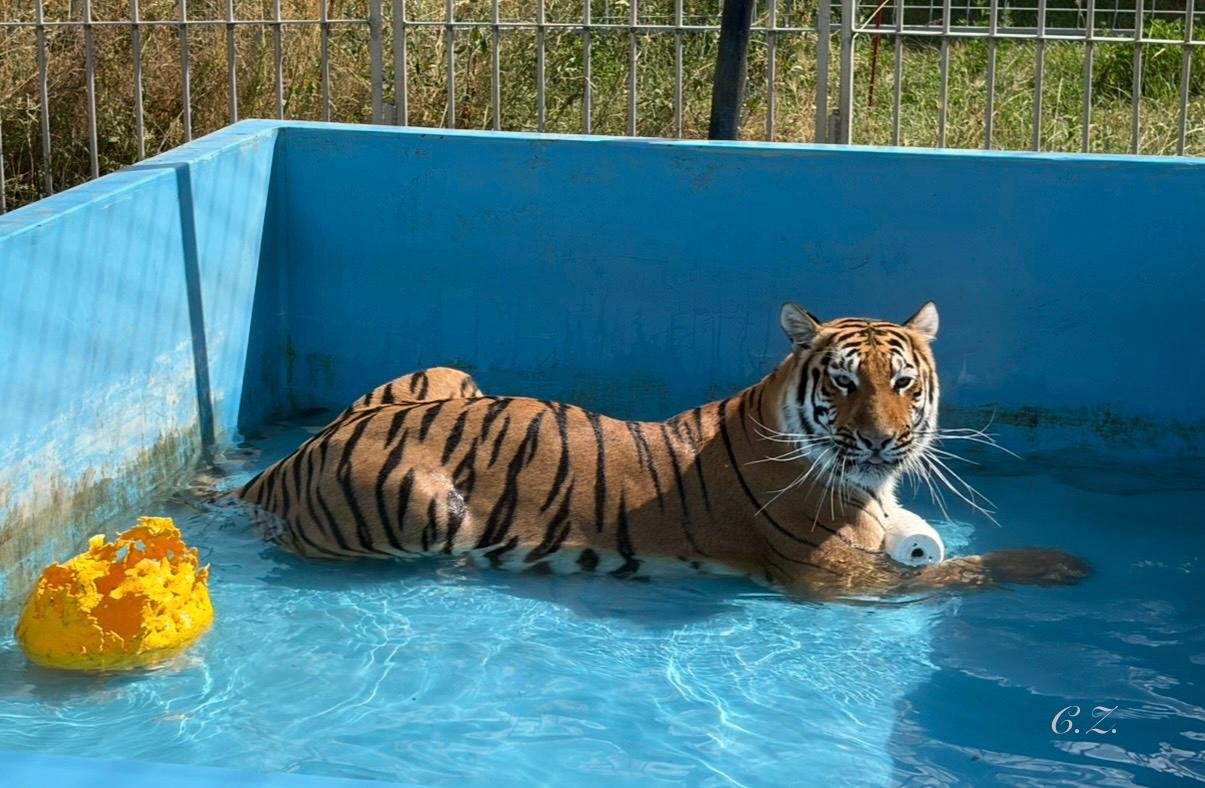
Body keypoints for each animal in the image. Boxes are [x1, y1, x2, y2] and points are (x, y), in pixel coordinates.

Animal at [235, 302, 1089, 598]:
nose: (882, 440)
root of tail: (280, 468)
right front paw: (1054, 564)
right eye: (844, 383)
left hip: (450, 372)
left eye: (905, 384)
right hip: (423, 501)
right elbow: (957, 570)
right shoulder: (827, 574)